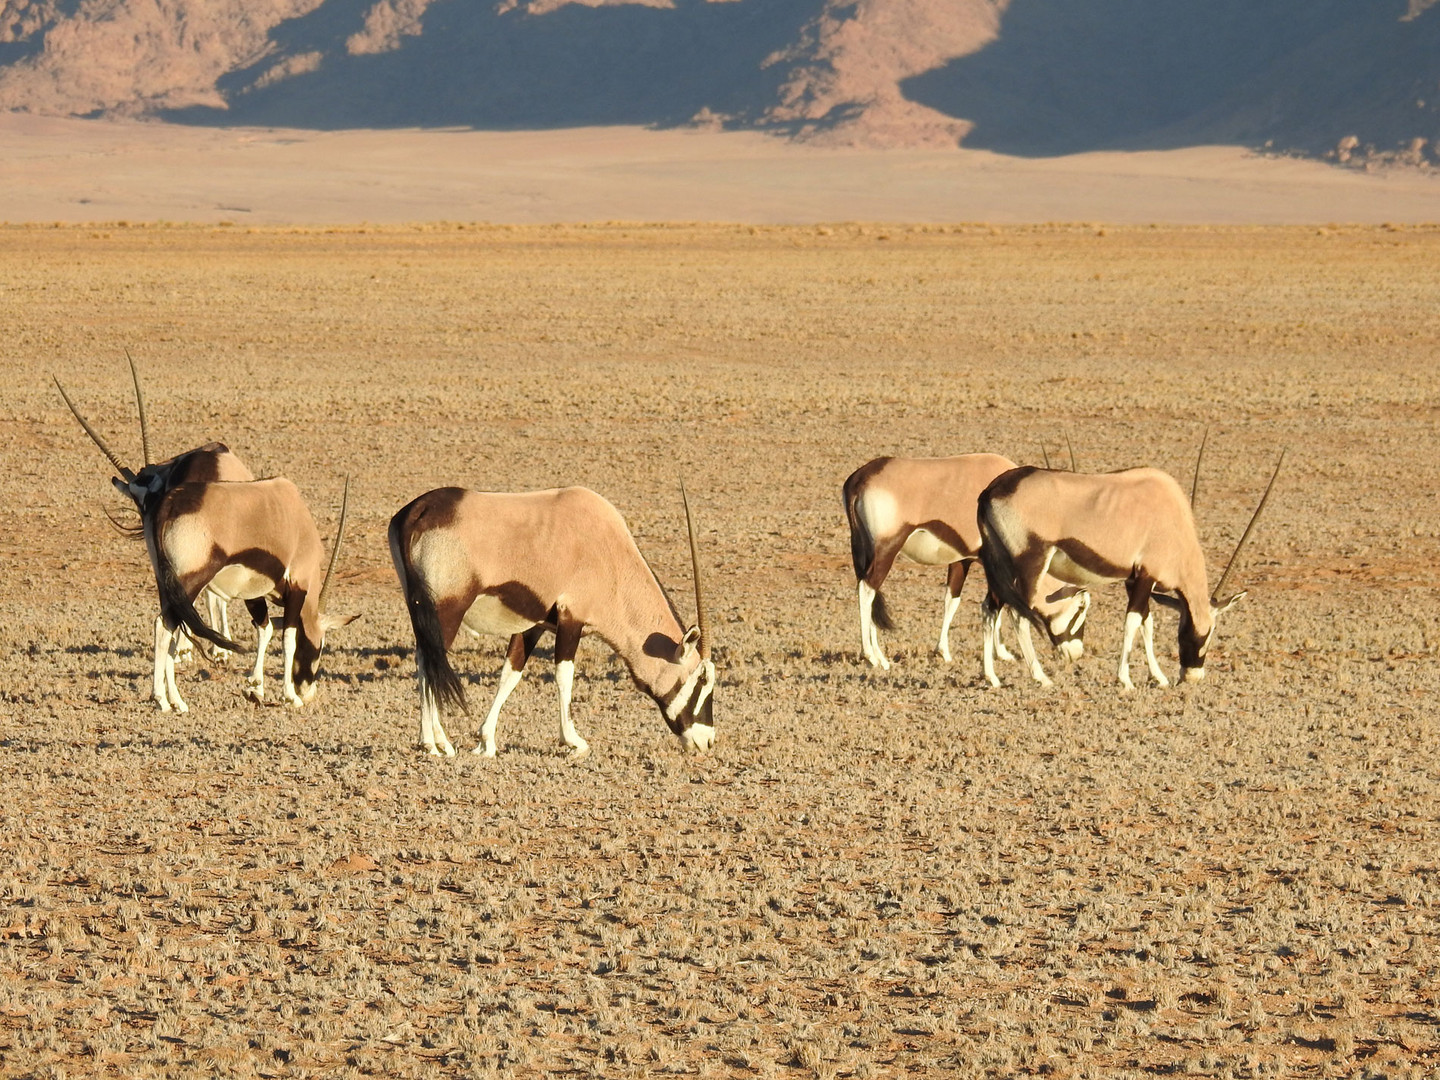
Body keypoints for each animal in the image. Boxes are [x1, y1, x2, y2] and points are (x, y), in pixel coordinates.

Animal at [147, 478, 355, 714]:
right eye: (318, 647)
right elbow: (288, 639)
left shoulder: (253, 595)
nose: (307, 692)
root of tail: (170, 503)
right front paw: (290, 697)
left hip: (169, 586)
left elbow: (266, 629)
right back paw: (161, 700)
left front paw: (255, 688)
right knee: (164, 625)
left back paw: (177, 701)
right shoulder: (297, 588)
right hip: (191, 581)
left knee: (170, 629)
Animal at [388, 489, 714, 760]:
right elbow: (564, 675)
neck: (610, 556)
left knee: (424, 660)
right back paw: (435, 743)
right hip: (447, 612)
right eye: (702, 680)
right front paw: (574, 742)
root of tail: (417, 510)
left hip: (422, 613)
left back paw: (433, 740)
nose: (707, 741)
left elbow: (510, 674)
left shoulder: (533, 625)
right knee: (431, 663)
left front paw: (486, 741)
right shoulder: (571, 621)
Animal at [840, 455, 1082, 676]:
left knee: (870, 592)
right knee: (867, 589)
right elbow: (997, 604)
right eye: (1081, 607)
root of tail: (859, 478)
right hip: (887, 549)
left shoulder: (962, 560)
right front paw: (1002, 653)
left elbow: (952, 600)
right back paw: (871, 656)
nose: (1075, 654)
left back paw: (881, 657)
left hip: (866, 551)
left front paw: (944, 652)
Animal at [979, 449, 1284, 688]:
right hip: (1029, 564)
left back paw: (991, 677)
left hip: (1000, 568)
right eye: (1204, 634)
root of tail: (990, 492)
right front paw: (1125, 680)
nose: (1192, 677)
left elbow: (1147, 623)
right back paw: (1041, 678)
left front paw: (1159, 677)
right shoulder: (1146, 575)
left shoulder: (1134, 578)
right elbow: (1133, 621)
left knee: (991, 608)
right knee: (1020, 616)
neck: (1174, 521)